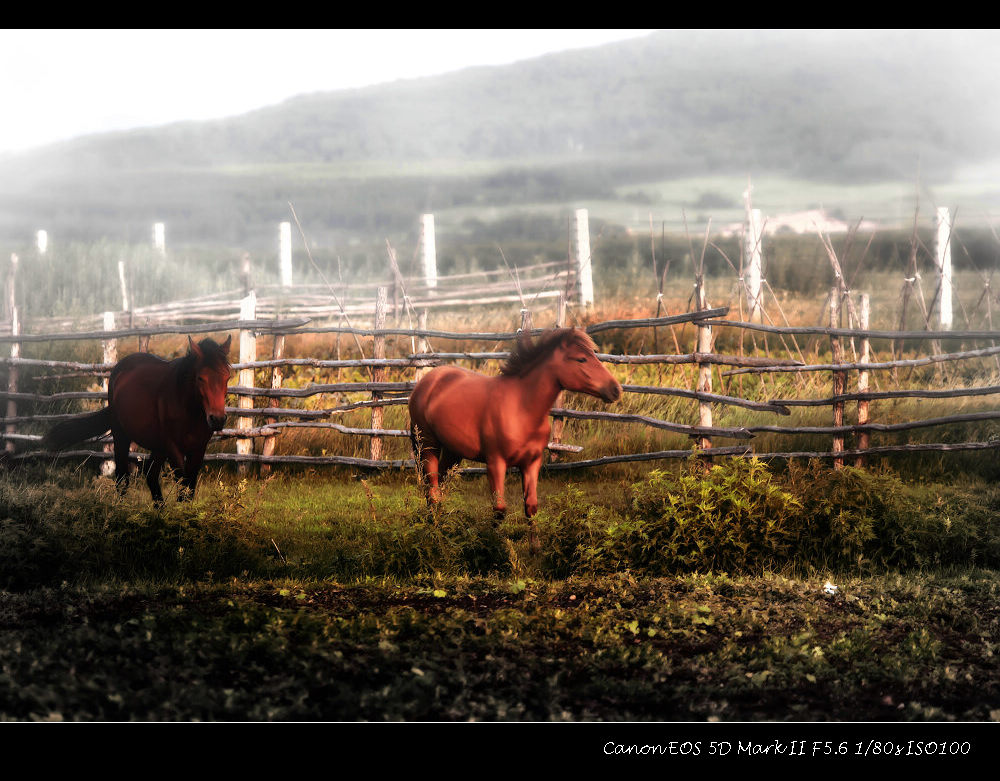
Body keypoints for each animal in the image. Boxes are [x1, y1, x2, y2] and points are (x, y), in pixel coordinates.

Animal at [43, 334, 232, 502]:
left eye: (227, 377)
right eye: (200, 378)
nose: (217, 419)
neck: (188, 409)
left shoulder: (199, 448)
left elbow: (189, 489)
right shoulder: (173, 448)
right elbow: (182, 486)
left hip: (158, 446)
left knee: (150, 474)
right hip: (122, 436)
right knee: (122, 477)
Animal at [410, 326, 620, 532]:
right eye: (581, 359)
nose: (615, 389)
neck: (521, 408)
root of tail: (428, 381)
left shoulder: (531, 463)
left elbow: (531, 508)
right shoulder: (495, 463)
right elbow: (499, 510)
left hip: (453, 451)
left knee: (440, 487)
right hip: (428, 446)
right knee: (432, 491)